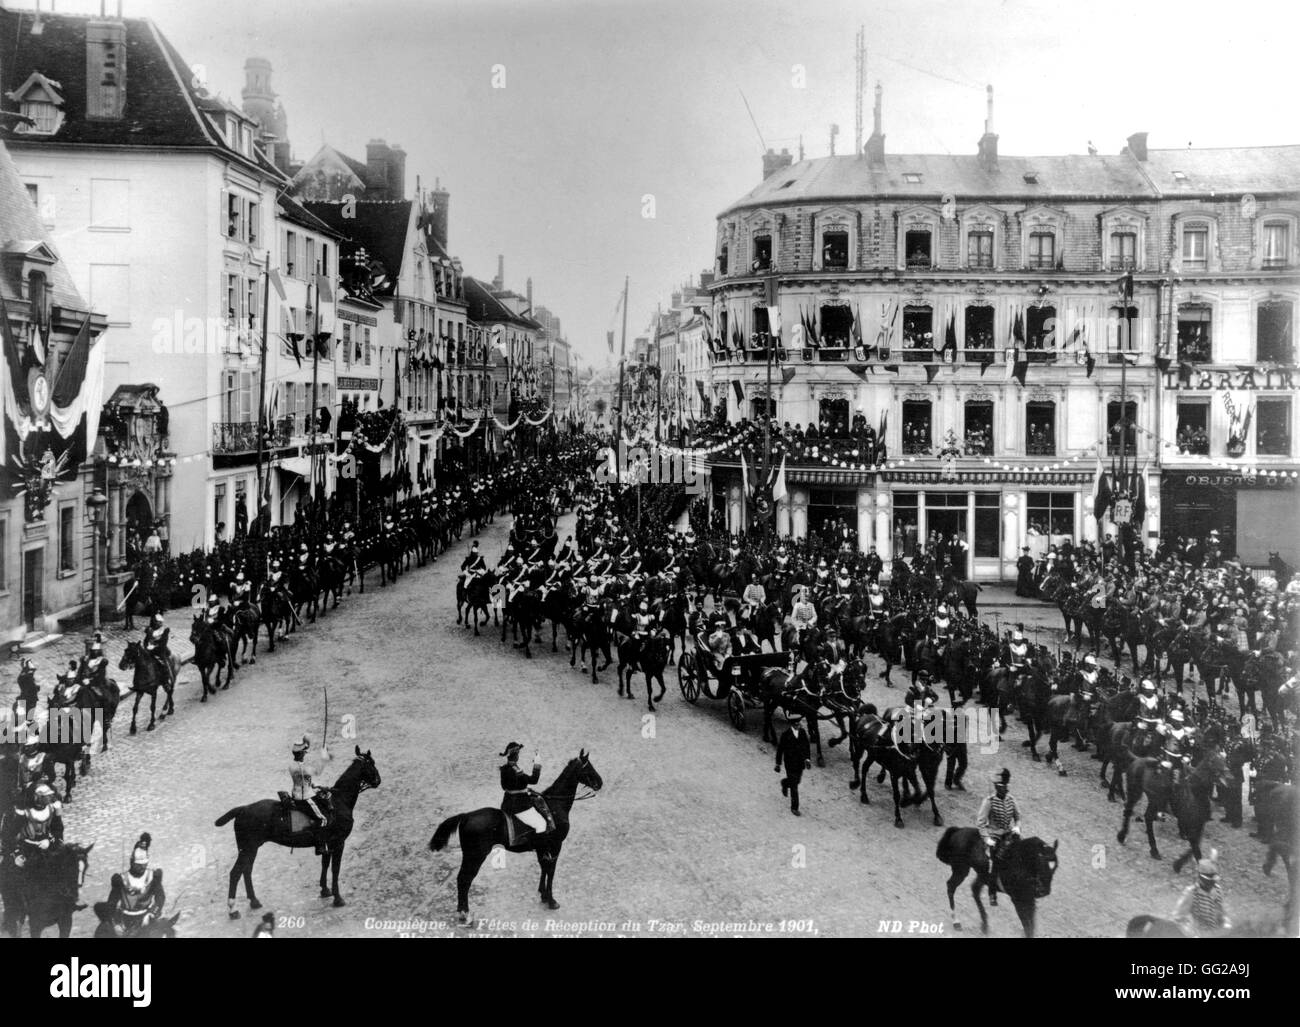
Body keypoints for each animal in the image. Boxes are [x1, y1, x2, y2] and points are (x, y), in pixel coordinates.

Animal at [214, 748, 379, 915]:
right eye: (371, 764)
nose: (378, 780)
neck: (338, 801)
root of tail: (243, 809)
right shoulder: (339, 843)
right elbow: (335, 869)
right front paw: (338, 898)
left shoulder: (327, 844)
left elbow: (325, 864)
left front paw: (325, 890)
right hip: (247, 848)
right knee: (236, 873)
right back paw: (232, 909)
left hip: (250, 849)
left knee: (246, 871)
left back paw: (254, 901)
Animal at [431, 754, 603, 930]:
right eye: (588, 768)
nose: (600, 782)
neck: (555, 806)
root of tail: (466, 816)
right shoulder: (555, 846)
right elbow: (551, 870)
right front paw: (551, 900)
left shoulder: (542, 848)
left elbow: (544, 867)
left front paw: (543, 894)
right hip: (475, 856)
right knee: (464, 880)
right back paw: (465, 914)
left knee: (462, 880)